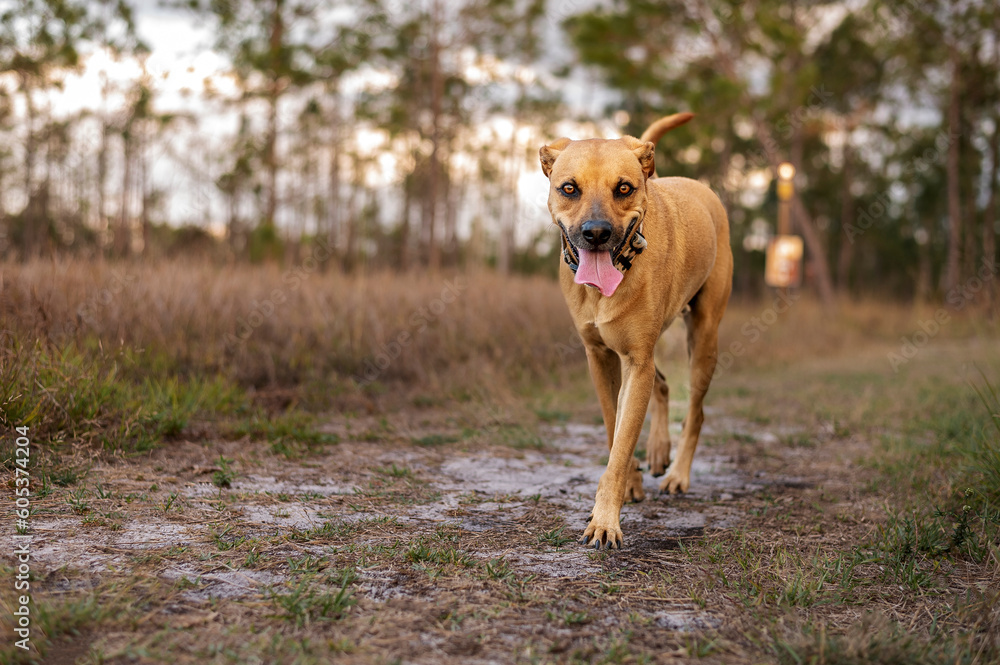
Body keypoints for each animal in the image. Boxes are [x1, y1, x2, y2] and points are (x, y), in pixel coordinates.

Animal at [540, 115, 736, 548]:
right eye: (569, 188)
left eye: (624, 188)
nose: (596, 233)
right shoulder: (601, 358)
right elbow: (615, 429)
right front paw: (629, 483)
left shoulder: (635, 360)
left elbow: (621, 441)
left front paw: (605, 521)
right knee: (662, 385)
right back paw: (659, 451)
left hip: (704, 338)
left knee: (696, 412)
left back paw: (677, 473)